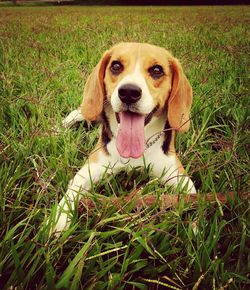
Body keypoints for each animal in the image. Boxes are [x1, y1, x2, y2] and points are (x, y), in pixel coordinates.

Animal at [51, 42, 196, 234]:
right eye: (116, 66)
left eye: (157, 70)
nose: (128, 92)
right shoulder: (90, 169)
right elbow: (73, 190)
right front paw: (58, 220)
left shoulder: (179, 176)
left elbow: (194, 201)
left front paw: (196, 230)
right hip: (89, 109)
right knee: (75, 114)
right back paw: (57, 130)